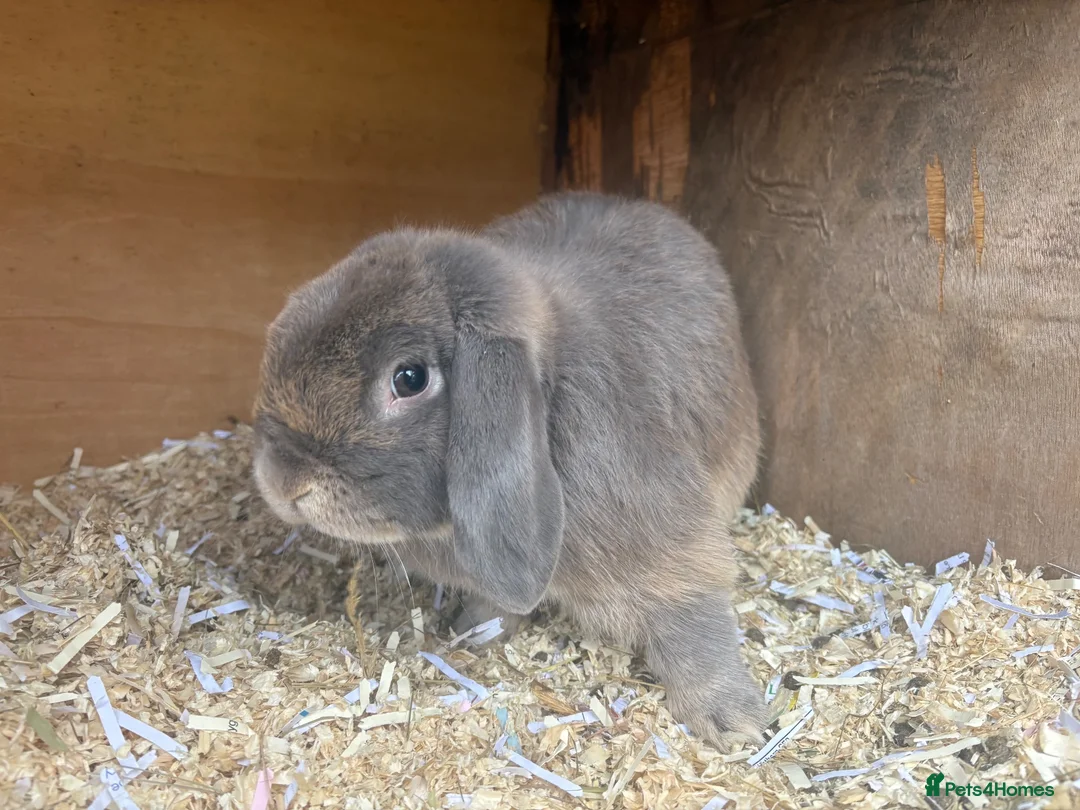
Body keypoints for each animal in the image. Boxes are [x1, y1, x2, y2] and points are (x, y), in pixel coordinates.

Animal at [251, 191, 766, 750]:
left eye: (409, 378)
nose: (282, 481)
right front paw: (474, 631)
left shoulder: (673, 549)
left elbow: (694, 624)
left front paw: (734, 722)